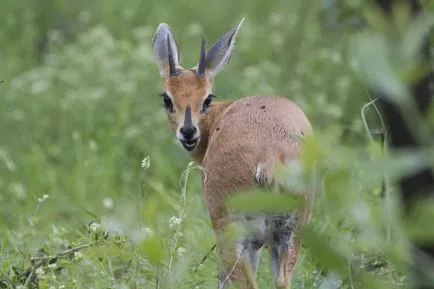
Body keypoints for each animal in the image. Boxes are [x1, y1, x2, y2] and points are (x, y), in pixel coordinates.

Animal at [151, 18, 314, 288]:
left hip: (235, 235)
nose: (188, 132)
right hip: (289, 234)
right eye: (167, 98)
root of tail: (269, 159)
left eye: (207, 98)